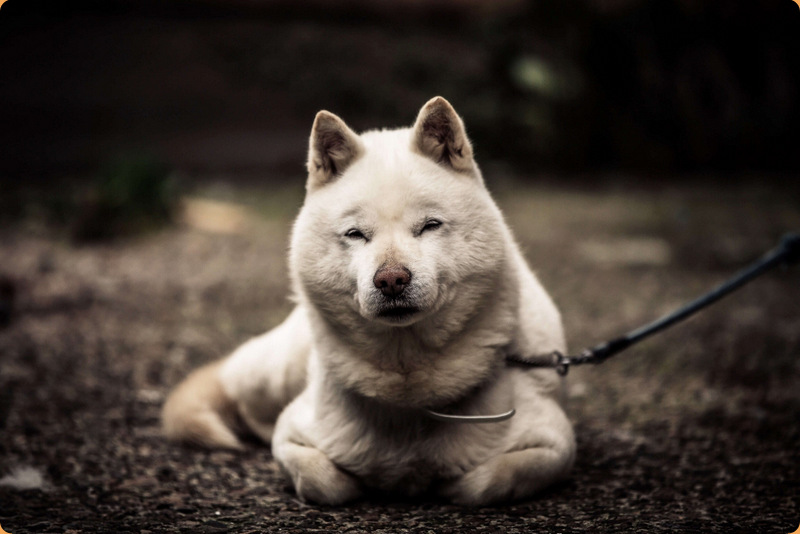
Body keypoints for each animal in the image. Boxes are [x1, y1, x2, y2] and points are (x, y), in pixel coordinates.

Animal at [162, 97, 576, 506]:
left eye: (430, 226)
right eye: (356, 234)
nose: (391, 280)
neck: (407, 385)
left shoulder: (555, 444)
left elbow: (487, 482)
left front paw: (445, 485)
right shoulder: (291, 434)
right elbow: (322, 481)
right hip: (269, 374)